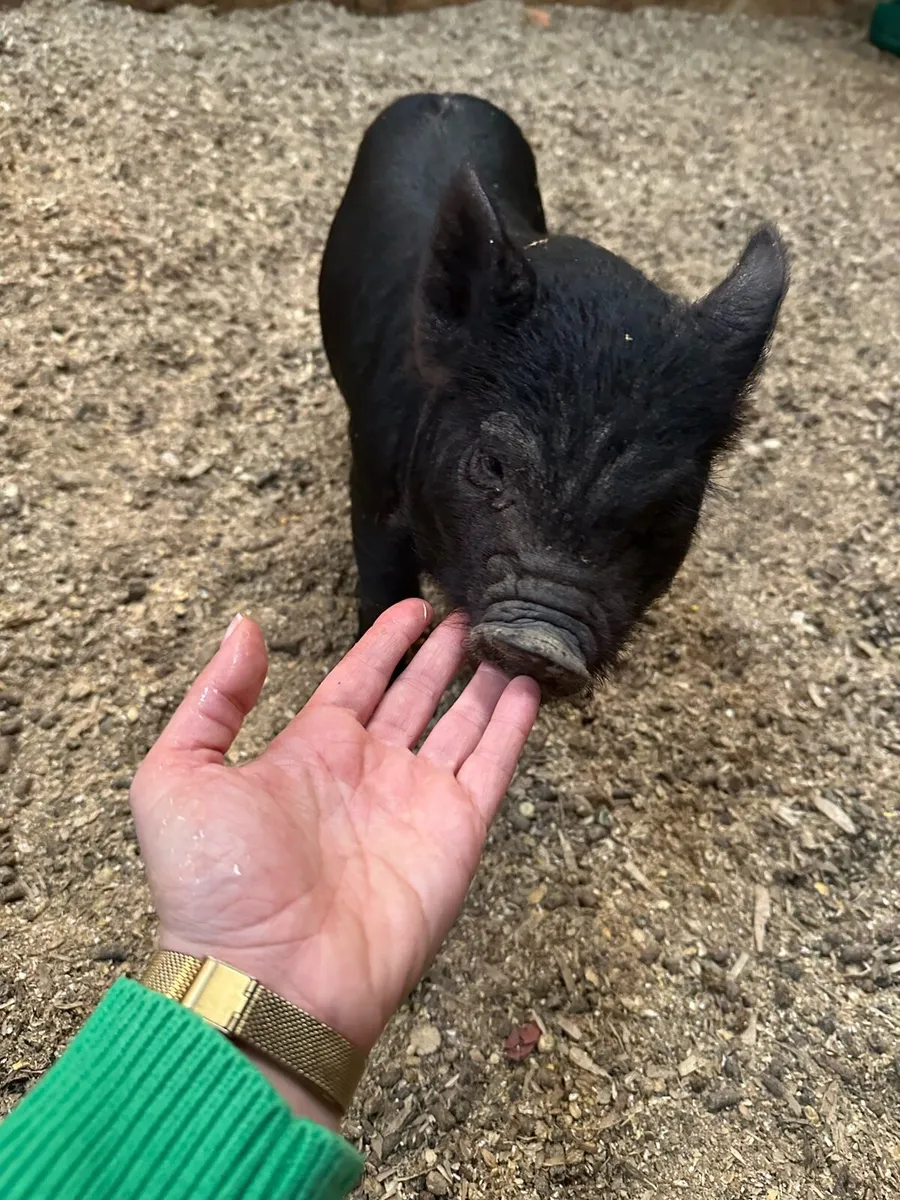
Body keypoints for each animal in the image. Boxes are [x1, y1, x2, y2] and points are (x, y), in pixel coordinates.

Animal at [318, 92, 788, 697]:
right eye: (491, 464)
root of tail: (442, 96)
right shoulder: (373, 491)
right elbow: (384, 598)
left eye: (668, 508)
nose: (541, 641)